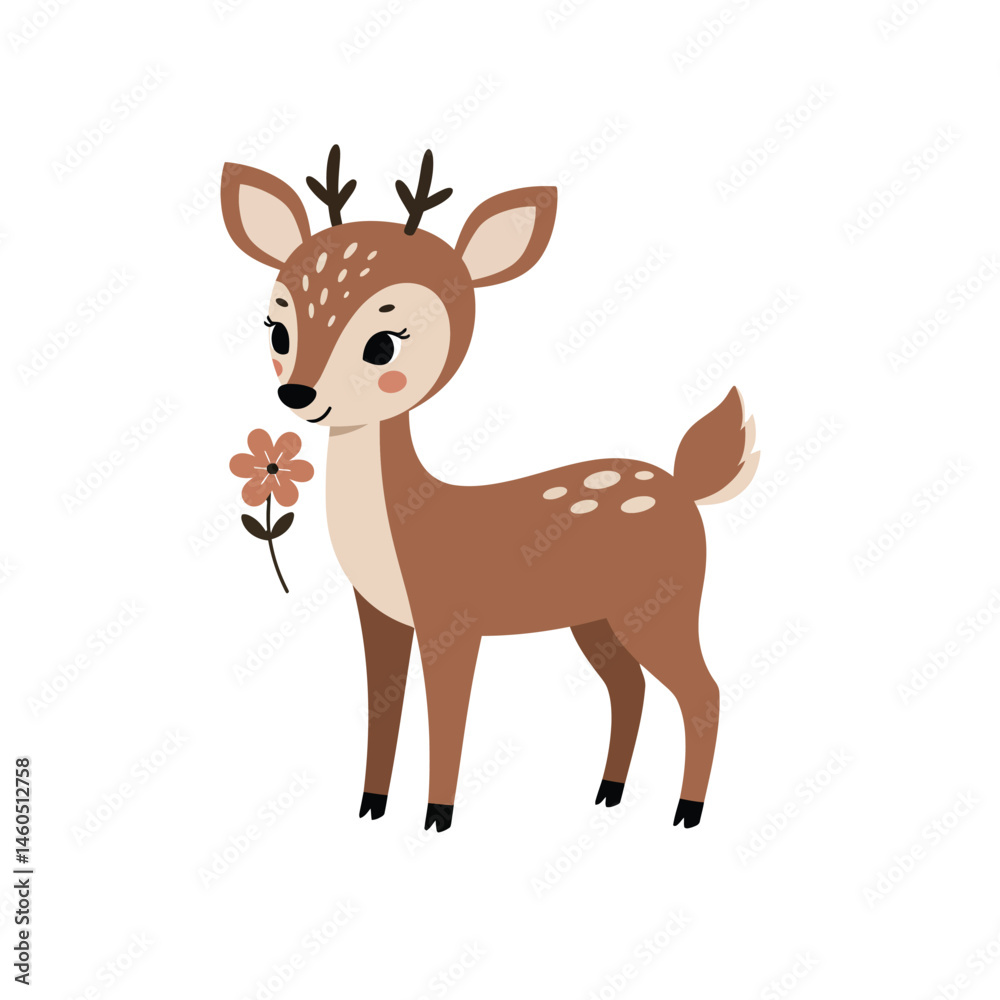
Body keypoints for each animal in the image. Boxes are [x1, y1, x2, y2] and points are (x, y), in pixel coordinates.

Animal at [220, 145, 759, 833]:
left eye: (382, 344)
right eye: (277, 330)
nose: (297, 394)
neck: (400, 527)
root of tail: (687, 488)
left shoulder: (453, 616)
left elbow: (449, 714)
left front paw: (437, 816)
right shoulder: (379, 613)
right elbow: (382, 707)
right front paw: (371, 807)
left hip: (665, 600)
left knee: (704, 690)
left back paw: (687, 812)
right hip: (598, 618)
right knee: (629, 689)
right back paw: (607, 793)